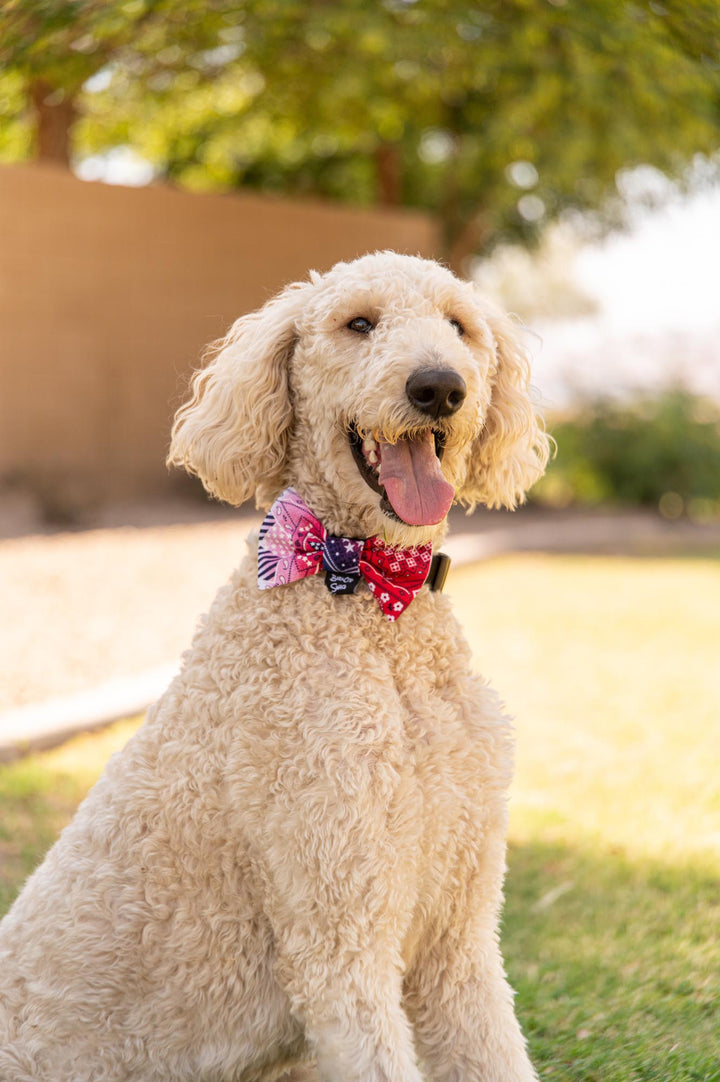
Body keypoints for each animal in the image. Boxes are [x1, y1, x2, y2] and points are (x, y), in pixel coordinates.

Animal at [0, 253, 545, 1082]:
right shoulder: (340, 935)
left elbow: (494, 1052)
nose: (440, 386)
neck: (374, 613)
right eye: (359, 323)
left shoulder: (459, 931)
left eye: (459, 327)